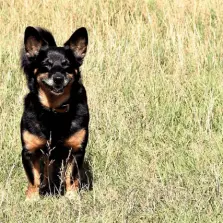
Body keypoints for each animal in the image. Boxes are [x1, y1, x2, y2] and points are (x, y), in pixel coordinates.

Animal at [20, 26, 89, 200]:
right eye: (46, 64)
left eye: (67, 65)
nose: (58, 78)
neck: (54, 111)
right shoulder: (29, 151)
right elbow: (33, 179)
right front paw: (32, 199)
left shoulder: (76, 151)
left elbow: (71, 177)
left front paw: (71, 197)